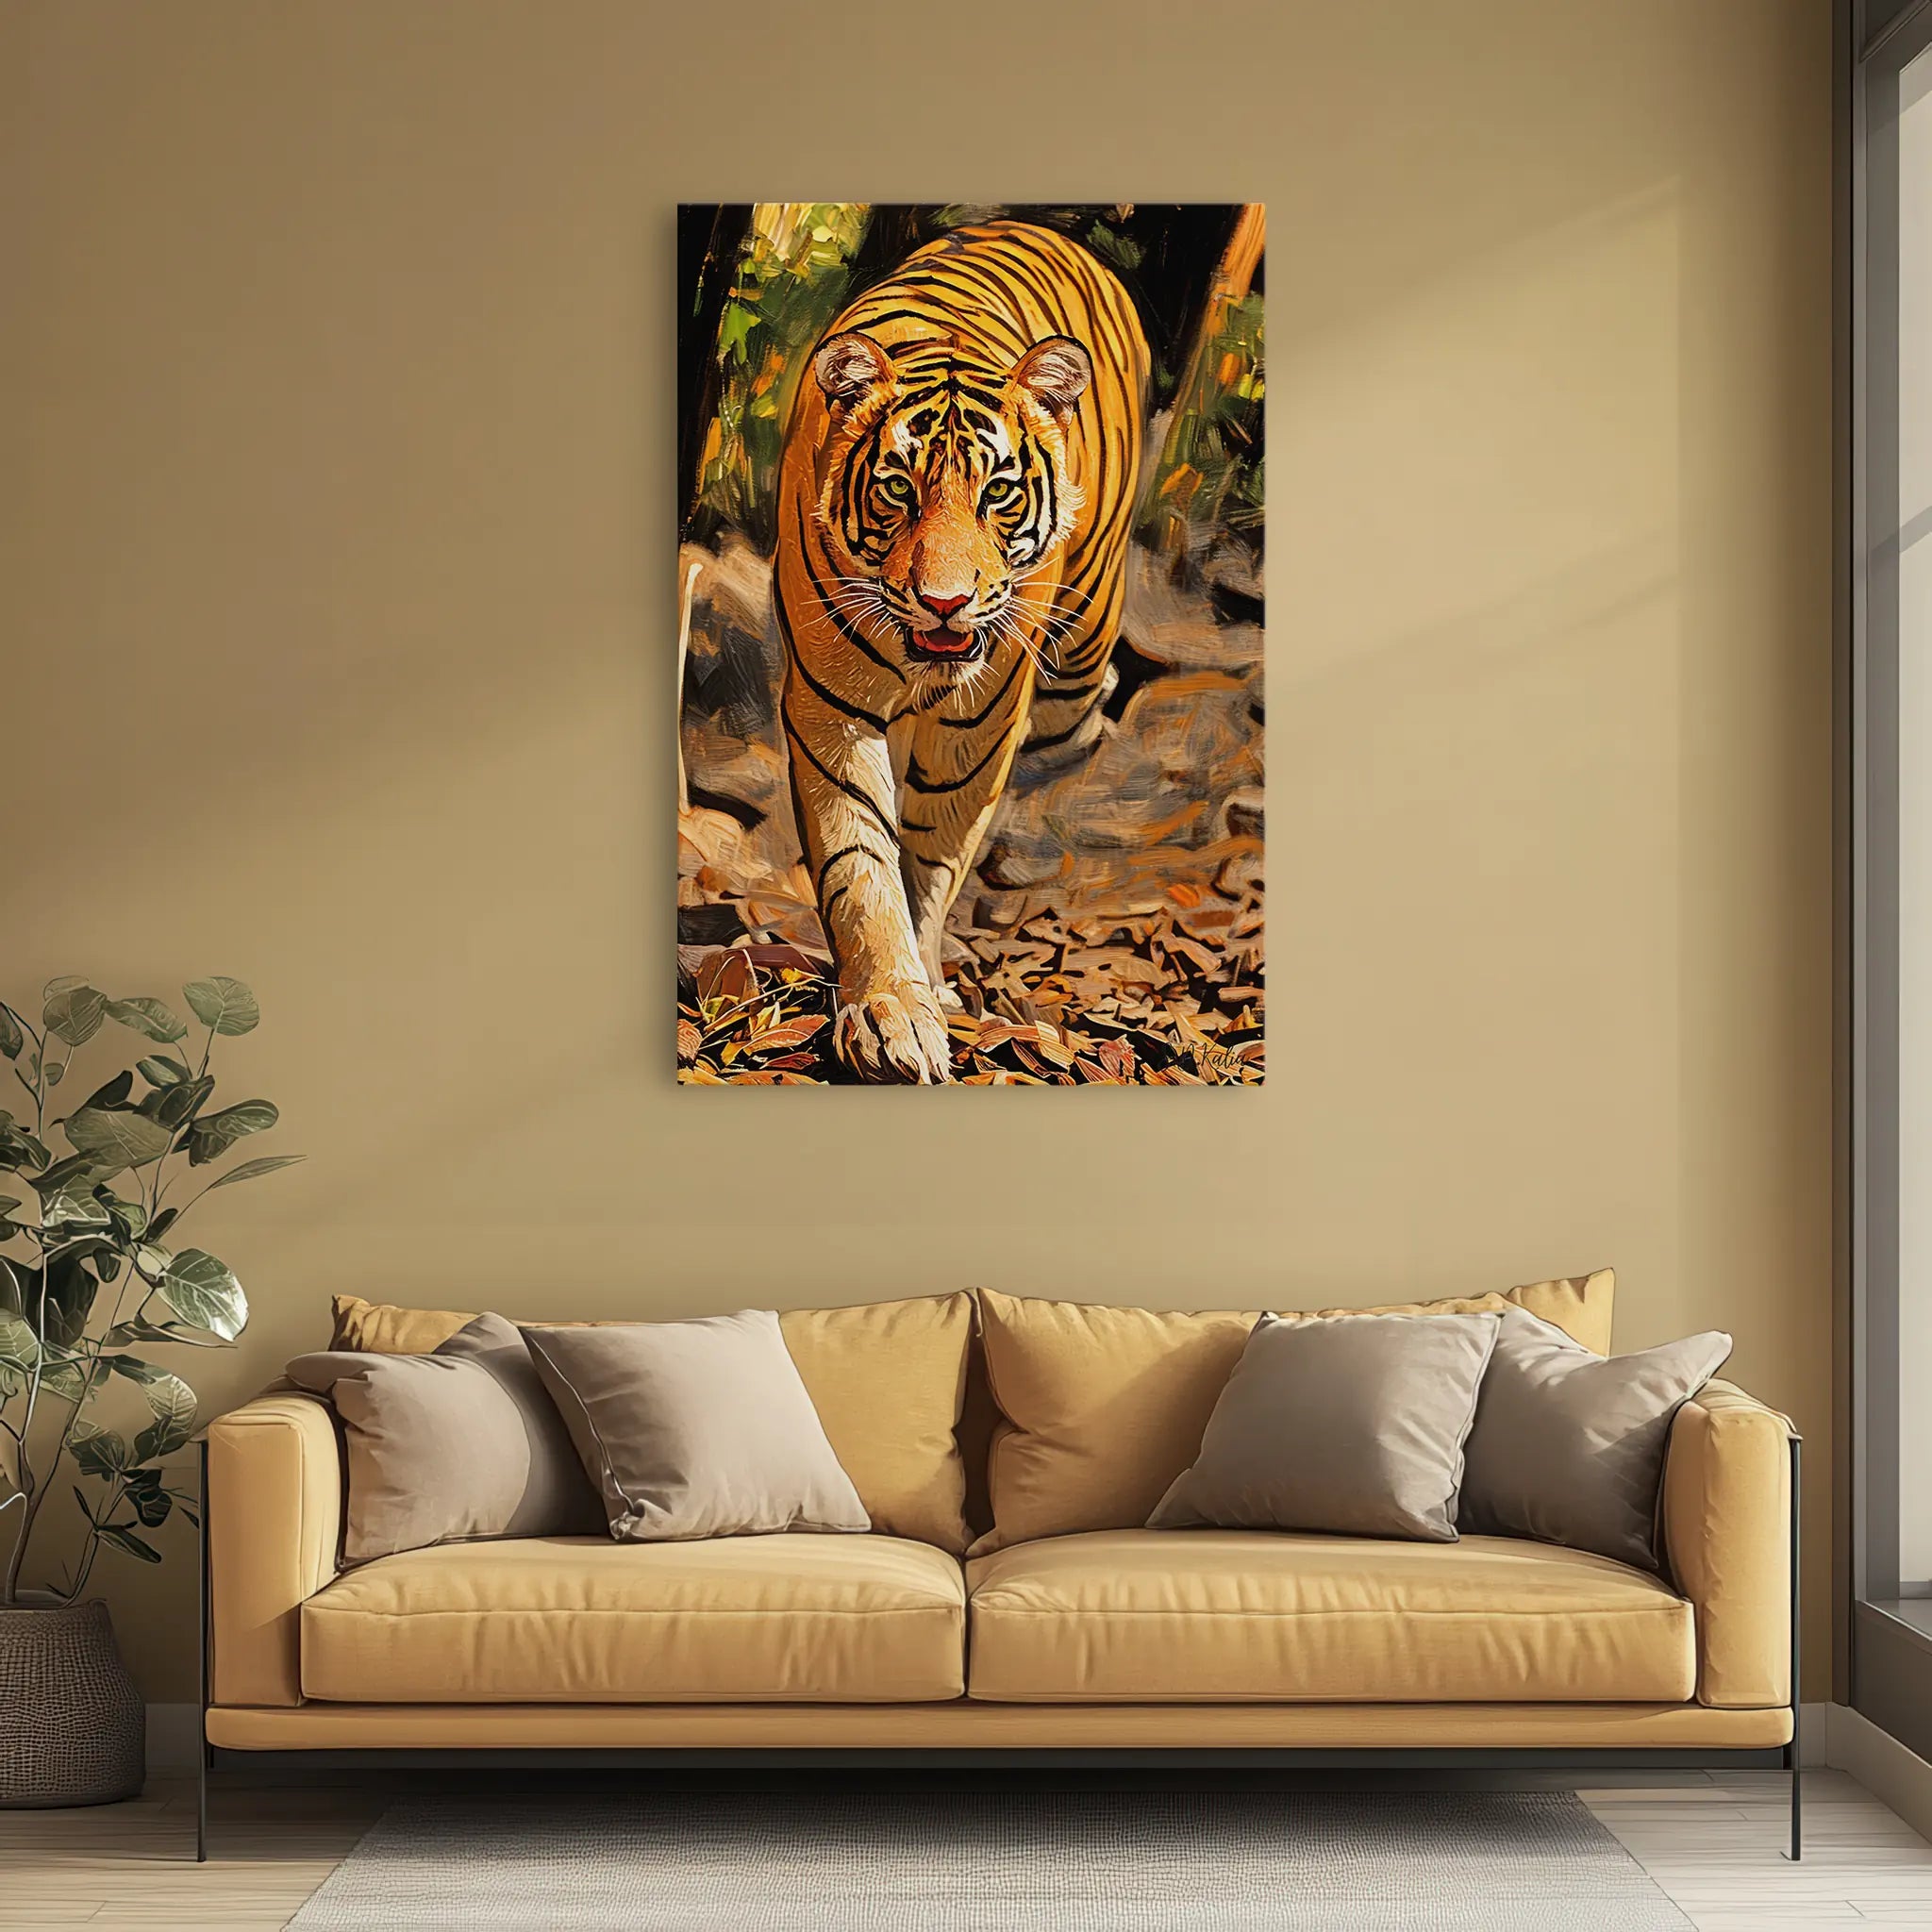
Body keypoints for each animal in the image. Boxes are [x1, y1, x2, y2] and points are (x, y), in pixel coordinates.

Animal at [774, 220, 1149, 1083]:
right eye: (898, 490)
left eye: (998, 492)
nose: (944, 601)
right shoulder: (830, 707)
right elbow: (859, 861)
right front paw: (889, 1010)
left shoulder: (981, 719)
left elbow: (932, 855)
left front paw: (924, 981)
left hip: (1082, 648)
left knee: (1083, 713)